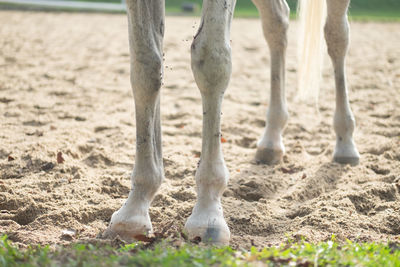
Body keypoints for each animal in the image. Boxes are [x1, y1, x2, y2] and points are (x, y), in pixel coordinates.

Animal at [104, 0, 360, 245]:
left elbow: (211, 58)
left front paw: (208, 214)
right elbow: (146, 65)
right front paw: (134, 212)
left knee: (337, 34)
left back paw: (345, 142)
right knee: (277, 21)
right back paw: (271, 140)